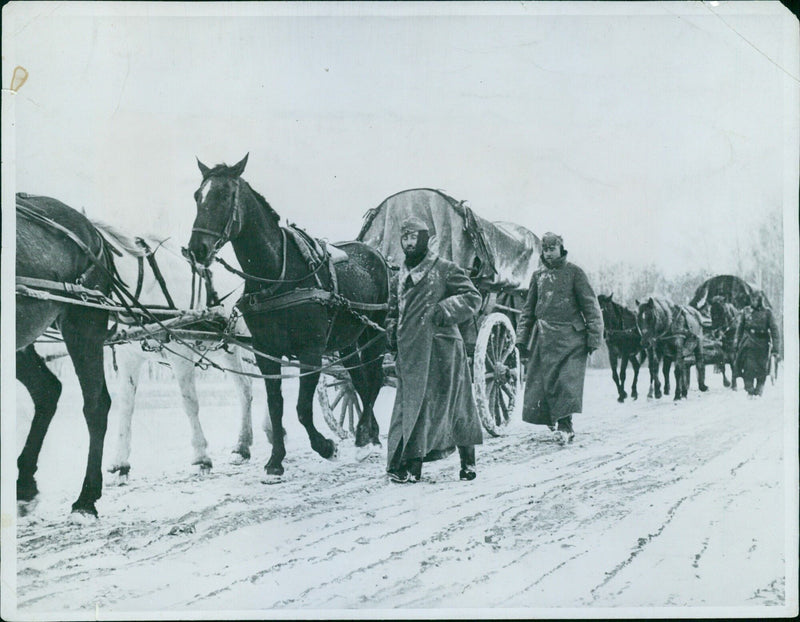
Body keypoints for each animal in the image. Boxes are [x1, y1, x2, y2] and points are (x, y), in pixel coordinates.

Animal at [92, 225, 264, 488]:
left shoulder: (181, 355)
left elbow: (189, 403)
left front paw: (201, 459)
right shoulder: (129, 358)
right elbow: (126, 408)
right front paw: (121, 463)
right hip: (226, 348)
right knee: (246, 388)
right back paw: (243, 447)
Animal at [186, 154, 390, 480]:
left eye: (225, 195)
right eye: (197, 196)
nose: (197, 249)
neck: (277, 275)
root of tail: (376, 253)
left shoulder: (311, 351)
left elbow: (302, 409)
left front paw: (325, 446)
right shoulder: (266, 353)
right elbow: (276, 405)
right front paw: (276, 459)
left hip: (376, 330)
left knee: (375, 380)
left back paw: (363, 438)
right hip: (348, 339)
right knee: (359, 381)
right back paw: (368, 435)